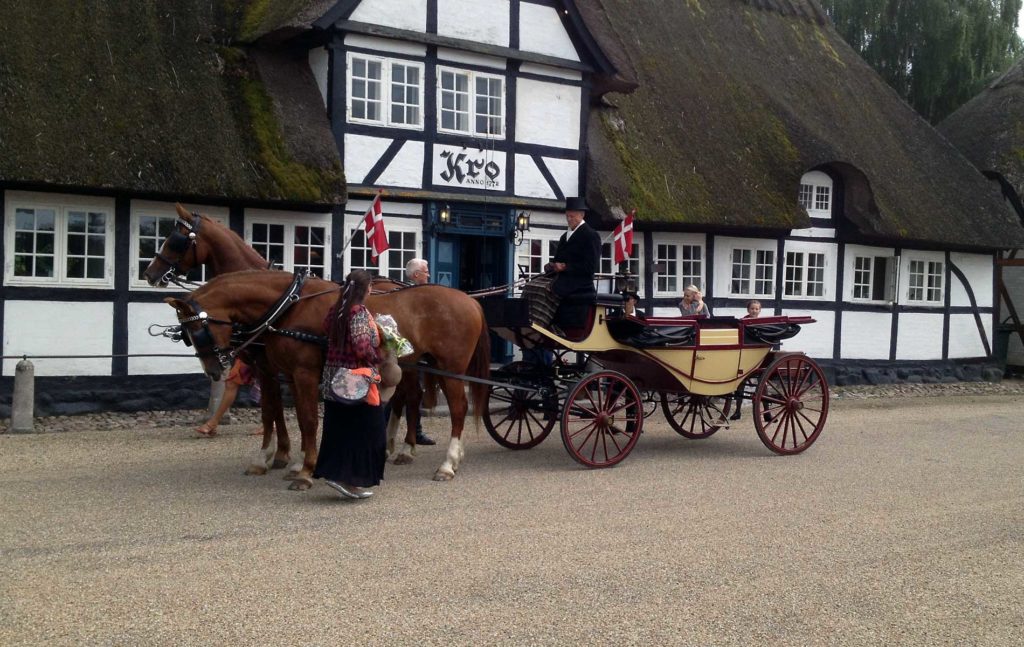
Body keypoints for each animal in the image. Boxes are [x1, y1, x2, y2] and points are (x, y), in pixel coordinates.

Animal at [165, 268, 489, 485]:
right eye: (186, 333)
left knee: (458, 409)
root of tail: (470, 300)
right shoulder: (285, 374)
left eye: (198, 330)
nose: (214, 370)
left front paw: (306, 470)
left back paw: (447, 463)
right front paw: (289, 462)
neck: (290, 305)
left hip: (451, 369)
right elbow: (284, 415)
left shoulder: (303, 372)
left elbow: (308, 420)